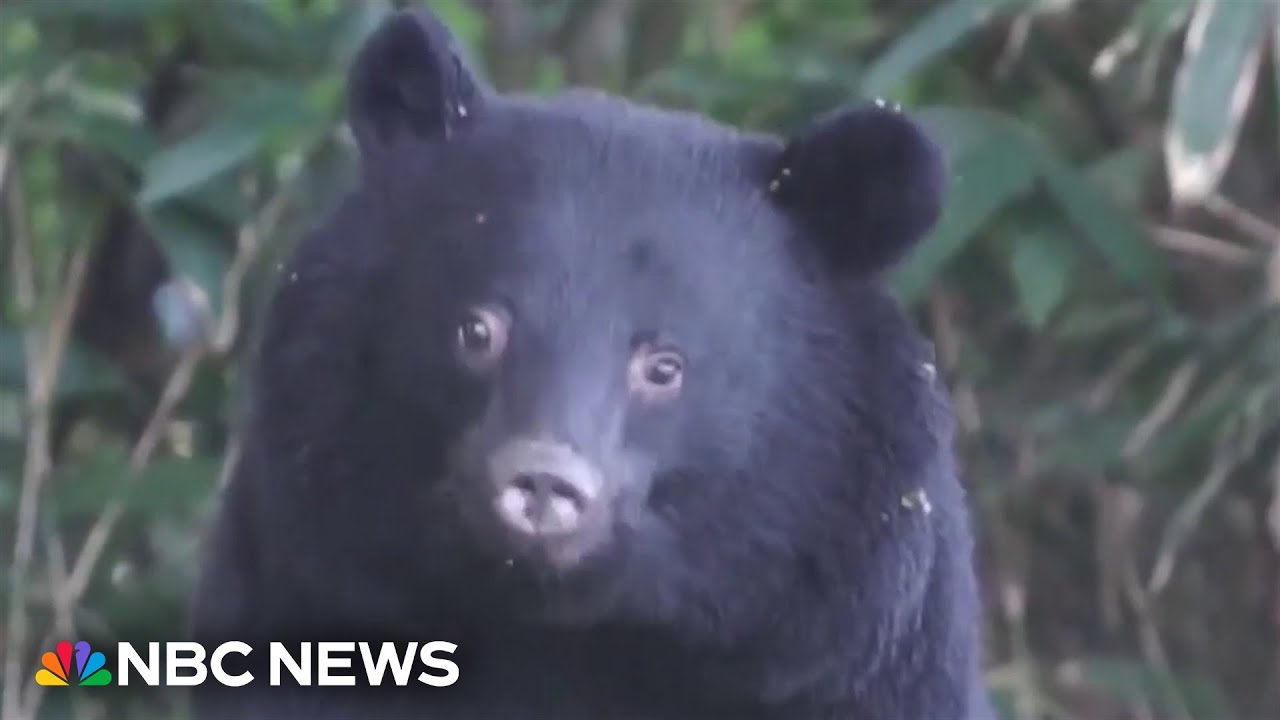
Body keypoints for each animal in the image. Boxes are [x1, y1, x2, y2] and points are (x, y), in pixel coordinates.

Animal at [189, 7, 994, 720]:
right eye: (477, 331)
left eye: (664, 366)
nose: (544, 483)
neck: (567, 633)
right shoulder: (317, 582)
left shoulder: (838, 655)